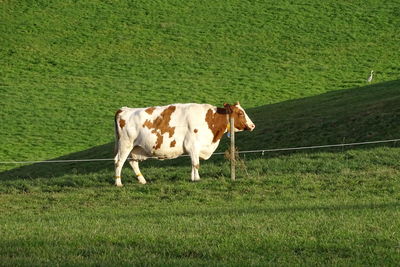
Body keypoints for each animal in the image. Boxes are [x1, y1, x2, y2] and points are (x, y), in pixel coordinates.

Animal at [114, 101, 255, 187]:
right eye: (240, 113)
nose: (253, 125)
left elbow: (193, 164)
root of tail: (123, 109)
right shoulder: (193, 145)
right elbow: (196, 164)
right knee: (119, 161)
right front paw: (197, 179)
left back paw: (142, 180)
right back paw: (118, 183)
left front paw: (193, 179)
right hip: (125, 144)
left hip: (136, 148)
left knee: (132, 162)